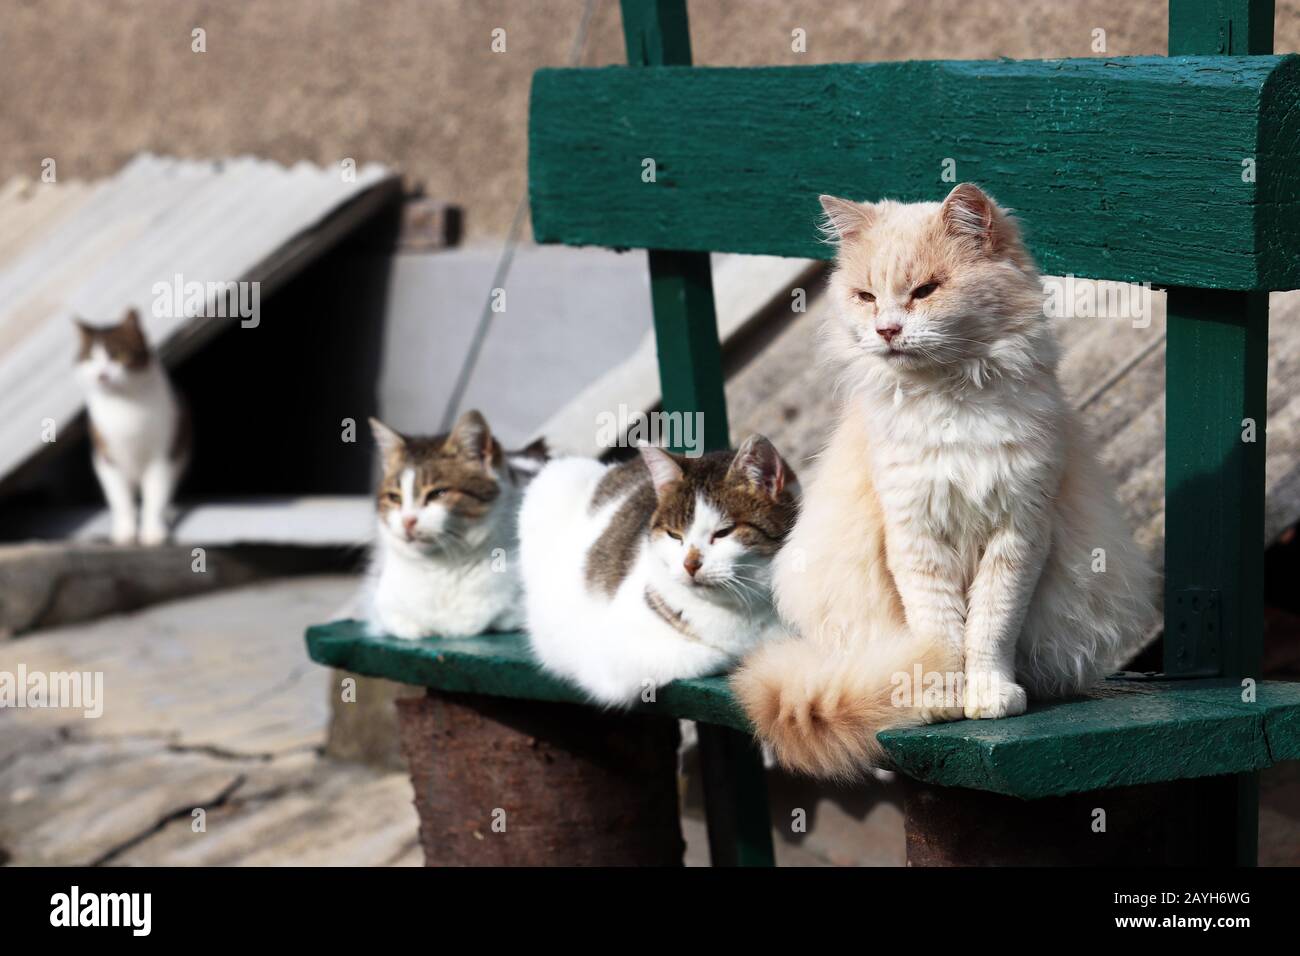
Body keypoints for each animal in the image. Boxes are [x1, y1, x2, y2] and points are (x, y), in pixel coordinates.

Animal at [74, 308, 188, 541]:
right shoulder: (106, 457)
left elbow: (155, 495)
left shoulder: (164, 452)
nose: (102, 375)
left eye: (117, 355)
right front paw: (124, 531)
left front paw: (153, 531)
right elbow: (120, 499)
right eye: (90, 359)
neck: (124, 405)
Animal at [361, 411, 543, 642]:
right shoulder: (383, 606)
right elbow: (404, 625)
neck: (443, 566)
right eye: (394, 497)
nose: (407, 520)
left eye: (438, 493)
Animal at [522, 437, 795, 707]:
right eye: (674, 535)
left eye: (723, 532)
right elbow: (718, 654)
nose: (690, 564)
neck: (744, 606)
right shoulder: (611, 653)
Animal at [733, 184, 1159, 780]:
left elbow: (989, 629)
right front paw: (938, 697)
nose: (887, 330)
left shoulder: (1019, 534)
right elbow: (940, 634)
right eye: (866, 297)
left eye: (925, 291)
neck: (950, 399)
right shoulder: (914, 537)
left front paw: (990, 696)